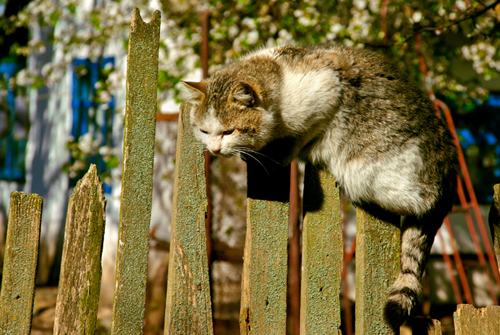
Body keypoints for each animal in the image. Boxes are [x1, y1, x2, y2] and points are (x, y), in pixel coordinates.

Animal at [182, 44, 458, 330]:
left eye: (229, 131)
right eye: (203, 131)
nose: (215, 149)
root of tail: (450, 166)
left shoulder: (326, 94)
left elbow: (302, 135)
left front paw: (282, 153)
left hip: (367, 175)